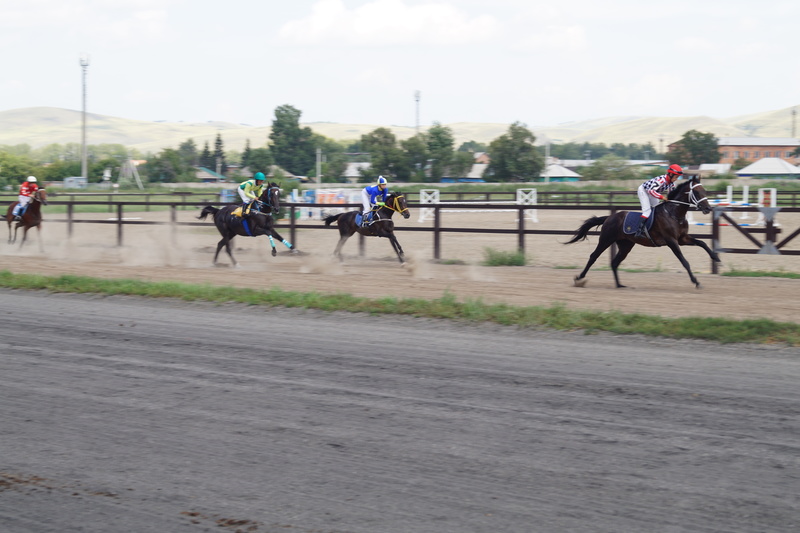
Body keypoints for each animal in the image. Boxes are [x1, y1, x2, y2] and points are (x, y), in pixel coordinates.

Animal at [564, 177, 720, 289]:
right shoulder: (671, 241)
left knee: (615, 262)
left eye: (705, 191)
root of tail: (609, 217)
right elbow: (685, 261)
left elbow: (702, 242)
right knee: (593, 256)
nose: (708, 208)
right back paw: (579, 279)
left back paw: (619, 285)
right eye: (697, 192)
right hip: (606, 239)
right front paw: (696, 281)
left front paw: (716, 257)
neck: (673, 213)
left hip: (626, 245)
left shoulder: (683, 238)